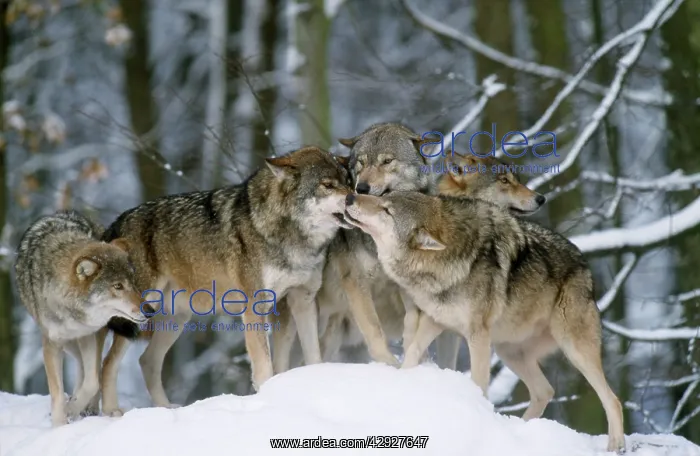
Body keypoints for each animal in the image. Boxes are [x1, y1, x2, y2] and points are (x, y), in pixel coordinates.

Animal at [14, 210, 148, 426]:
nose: (150, 309)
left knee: (93, 370)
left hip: (93, 335)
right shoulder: (52, 343)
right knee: (80, 365)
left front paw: (72, 408)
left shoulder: (87, 334)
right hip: (67, 343)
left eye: (133, 283)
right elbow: (57, 392)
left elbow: (92, 381)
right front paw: (60, 423)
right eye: (118, 286)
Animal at [100, 146, 352, 408]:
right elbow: (264, 366)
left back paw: (166, 408)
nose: (354, 198)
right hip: (137, 315)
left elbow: (313, 356)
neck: (292, 237)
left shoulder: (302, 300)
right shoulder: (255, 306)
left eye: (348, 182)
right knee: (108, 365)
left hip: (177, 318)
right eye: (328, 185)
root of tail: (115, 223)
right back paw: (113, 412)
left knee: (147, 361)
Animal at [343, 191, 625, 453]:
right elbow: (412, 351)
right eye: (383, 197)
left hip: (574, 350)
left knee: (612, 399)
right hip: (508, 351)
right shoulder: (435, 320)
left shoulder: (477, 335)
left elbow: (478, 381)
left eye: (387, 210)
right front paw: (401, 379)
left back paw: (616, 445)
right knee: (545, 391)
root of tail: (585, 265)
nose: (349, 197)